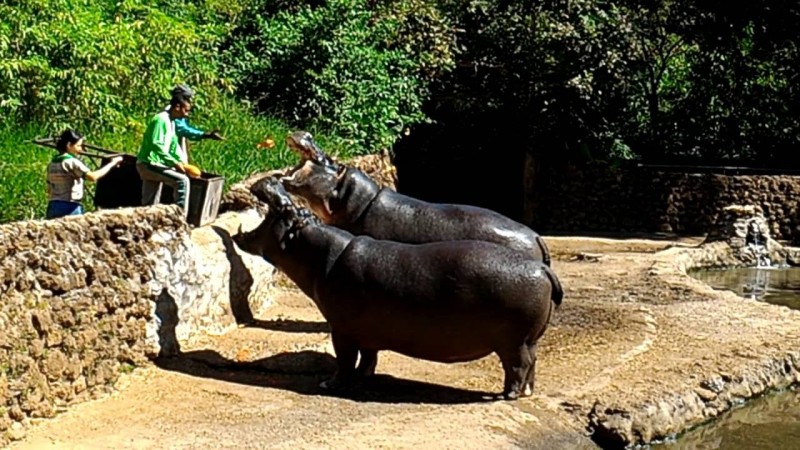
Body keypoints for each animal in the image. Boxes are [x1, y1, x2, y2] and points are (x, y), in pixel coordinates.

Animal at [234, 178, 564, 400]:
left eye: (284, 208)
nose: (273, 180)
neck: (314, 251)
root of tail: (543, 269)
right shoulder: (366, 332)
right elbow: (368, 358)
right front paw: (365, 377)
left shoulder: (341, 329)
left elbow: (344, 360)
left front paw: (330, 384)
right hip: (529, 340)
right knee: (532, 364)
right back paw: (525, 392)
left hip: (513, 342)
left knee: (518, 366)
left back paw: (506, 395)